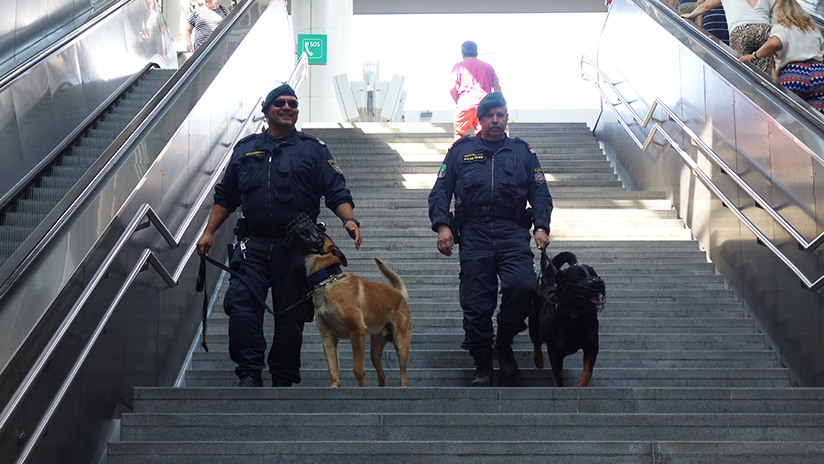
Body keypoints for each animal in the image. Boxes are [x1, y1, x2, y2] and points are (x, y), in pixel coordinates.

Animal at [306, 236, 412, 388]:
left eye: (320, 233)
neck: (328, 281)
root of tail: (400, 296)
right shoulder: (327, 337)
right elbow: (333, 370)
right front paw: (334, 387)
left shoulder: (357, 331)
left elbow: (357, 369)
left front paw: (364, 387)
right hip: (375, 351)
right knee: (382, 375)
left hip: (401, 344)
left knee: (403, 376)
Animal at [528, 252, 604, 386]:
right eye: (579, 277)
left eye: (594, 275)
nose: (598, 281)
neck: (575, 314)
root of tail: (546, 284)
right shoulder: (555, 352)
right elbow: (559, 378)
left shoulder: (592, 345)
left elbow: (588, 371)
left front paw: (581, 384)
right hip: (534, 326)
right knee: (537, 342)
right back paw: (538, 359)